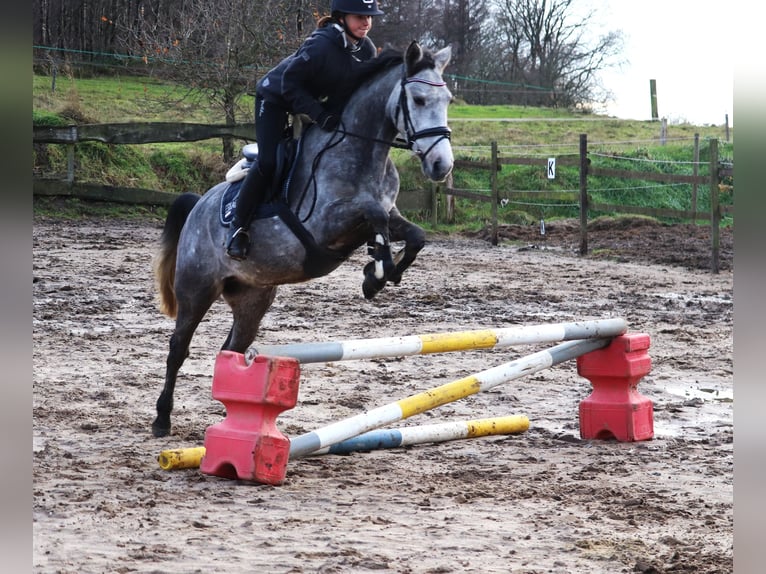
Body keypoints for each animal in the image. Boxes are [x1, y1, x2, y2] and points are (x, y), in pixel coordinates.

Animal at [152, 41, 452, 436]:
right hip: (197, 289)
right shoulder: (325, 223)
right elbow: (372, 215)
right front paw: (377, 271)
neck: (361, 152)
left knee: (233, 348)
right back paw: (162, 418)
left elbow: (415, 234)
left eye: (448, 99)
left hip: (252, 298)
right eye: (417, 99)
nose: (442, 166)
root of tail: (197, 207)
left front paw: (376, 274)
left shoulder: (388, 215)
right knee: (178, 347)